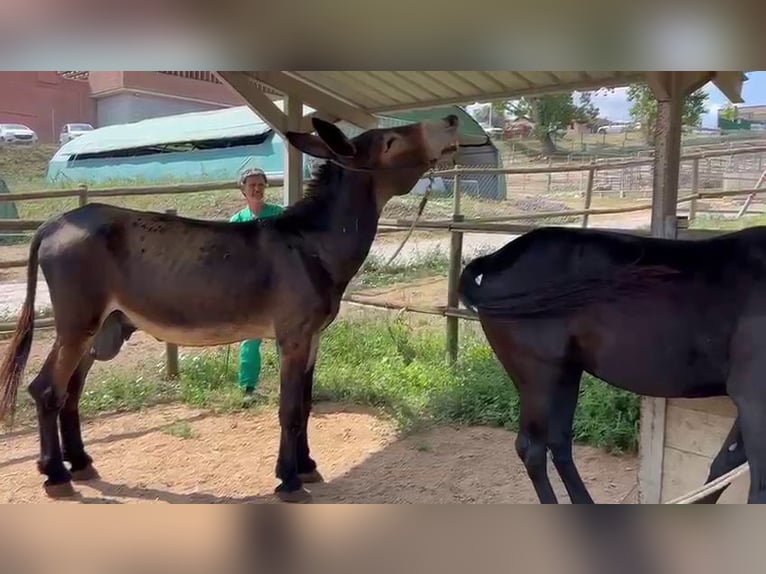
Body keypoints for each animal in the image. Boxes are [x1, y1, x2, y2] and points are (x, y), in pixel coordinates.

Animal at [0, 114, 466, 503]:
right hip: (78, 325)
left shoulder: (313, 337)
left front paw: (307, 467)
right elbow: (290, 410)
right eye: (391, 141)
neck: (311, 242)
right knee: (48, 390)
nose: (451, 119)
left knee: (69, 393)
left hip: (99, 329)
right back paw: (56, 476)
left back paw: (80, 465)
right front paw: (289, 481)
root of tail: (55, 222)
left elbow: (307, 405)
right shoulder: (293, 337)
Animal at [458, 225, 765, 504]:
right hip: (537, 377)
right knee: (531, 449)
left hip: (566, 374)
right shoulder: (752, 400)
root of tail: (497, 259)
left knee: (558, 442)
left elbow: (722, 467)